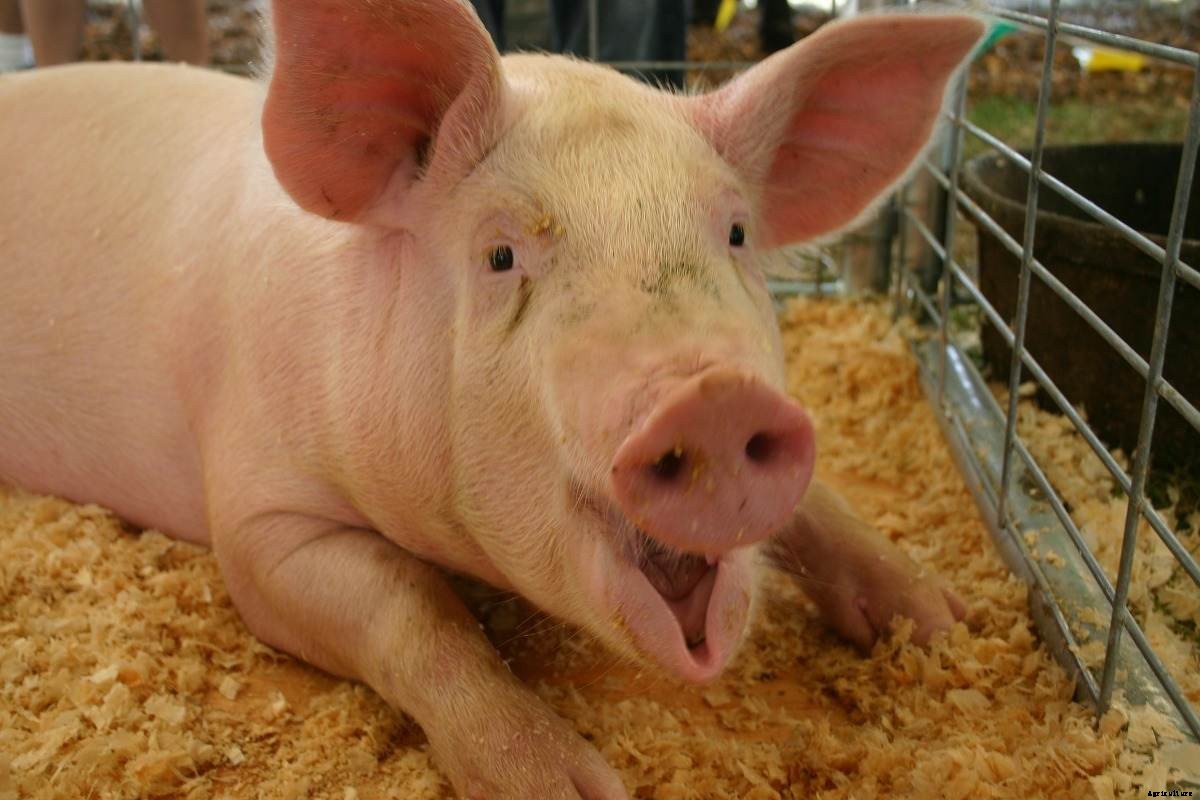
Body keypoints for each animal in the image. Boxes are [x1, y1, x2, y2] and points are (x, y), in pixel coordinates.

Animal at [0, 2, 983, 797]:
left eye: (737, 233)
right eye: (502, 255)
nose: (717, 396)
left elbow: (816, 501)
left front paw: (940, 625)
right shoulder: (257, 515)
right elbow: (412, 603)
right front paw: (567, 788)